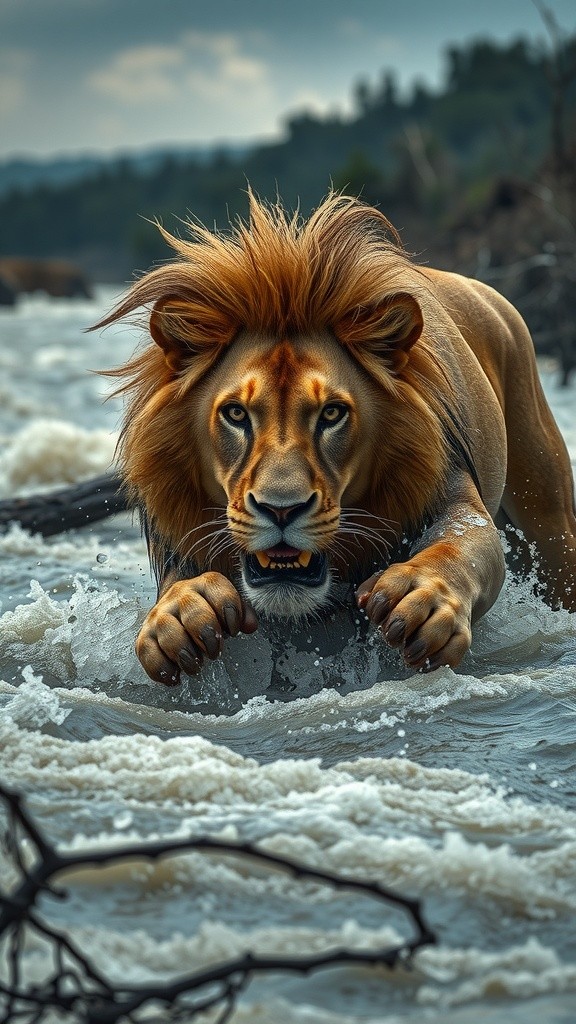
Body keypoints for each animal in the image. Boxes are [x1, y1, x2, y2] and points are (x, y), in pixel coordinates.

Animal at [95, 192, 576, 685]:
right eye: (236, 413)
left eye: (331, 413)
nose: (281, 510)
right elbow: (176, 589)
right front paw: (181, 617)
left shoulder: (451, 495)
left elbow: (458, 547)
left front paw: (421, 600)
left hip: (550, 524)